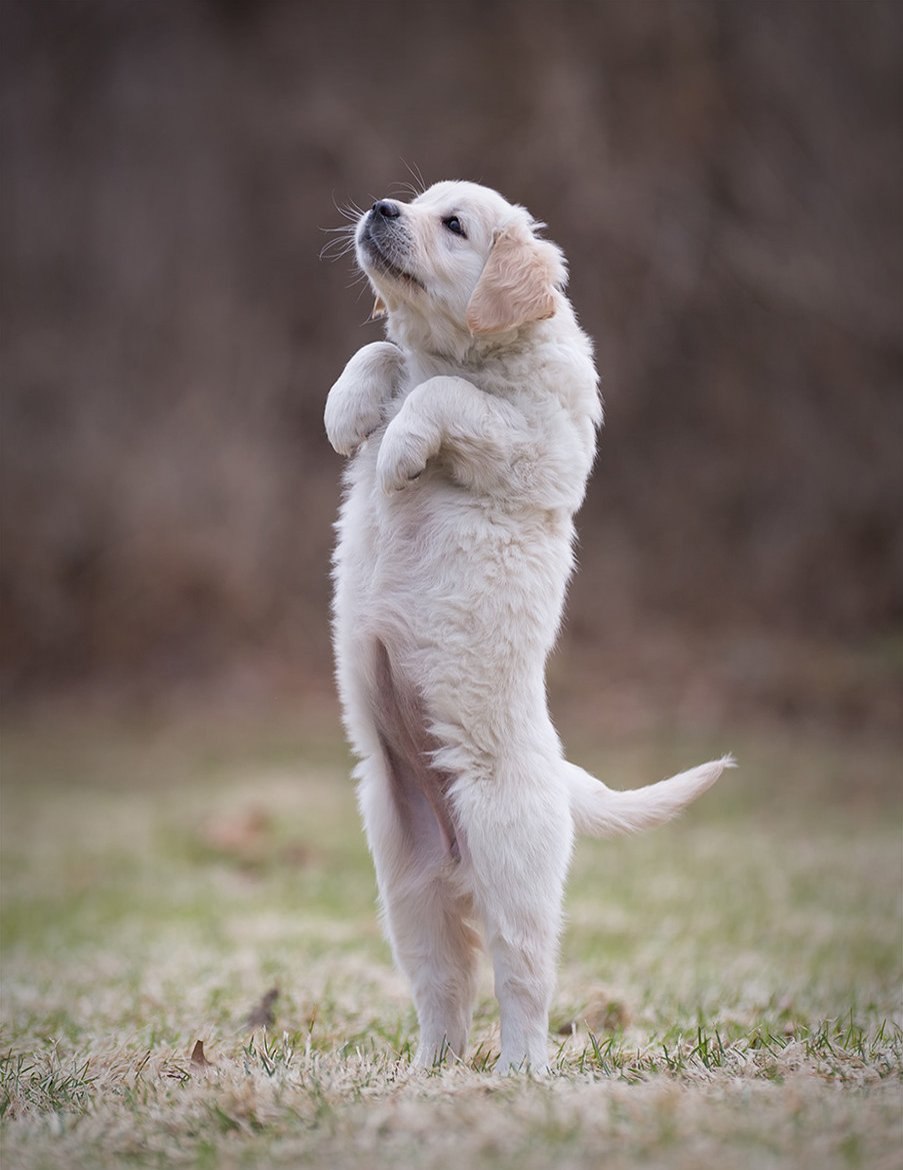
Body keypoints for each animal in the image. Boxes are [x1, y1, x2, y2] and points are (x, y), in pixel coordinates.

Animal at [325, 180, 734, 1071]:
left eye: (452, 225)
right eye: (413, 201)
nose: (380, 209)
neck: (450, 349)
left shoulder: (533, 441)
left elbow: (446, 399)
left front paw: (400, 447)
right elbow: (376, 357)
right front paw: (349, 413)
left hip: (511, 864)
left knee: (522, 979)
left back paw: (519, 1071)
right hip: (405, 884)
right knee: (443, 984)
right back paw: (427, 1071)